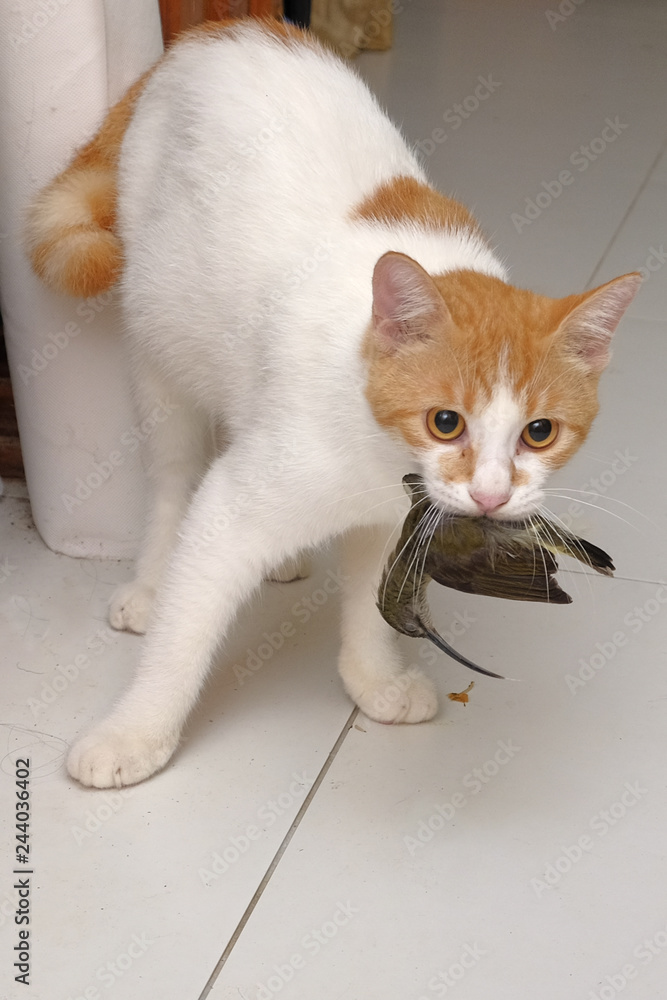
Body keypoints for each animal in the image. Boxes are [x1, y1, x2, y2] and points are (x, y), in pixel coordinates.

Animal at [27, 11, 640, 784]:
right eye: (445, 422)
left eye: (540, 432)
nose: (492, 496)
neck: (376, 449)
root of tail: (218, 29)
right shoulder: (239, 504)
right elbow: (184, 627)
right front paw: (135, 731)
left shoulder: (394, 515)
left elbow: (370, 597)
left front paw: (373, 678)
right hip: (159, 346)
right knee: (173, 478)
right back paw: (152, 581)